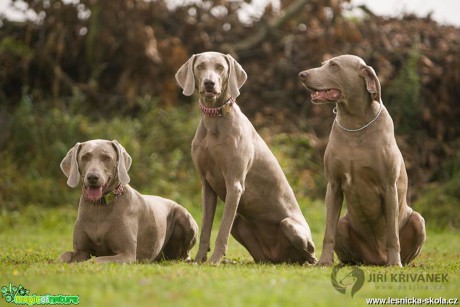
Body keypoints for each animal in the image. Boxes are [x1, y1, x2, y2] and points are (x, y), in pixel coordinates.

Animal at [58, 141, 198, 264]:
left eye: (106, 157)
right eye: (85, 157)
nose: (92, 177)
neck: (100, 206)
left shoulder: (127, 254)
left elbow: (94, 260)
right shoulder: (81, 251)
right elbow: (64, 255)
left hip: (185, 218)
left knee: (184, 254)